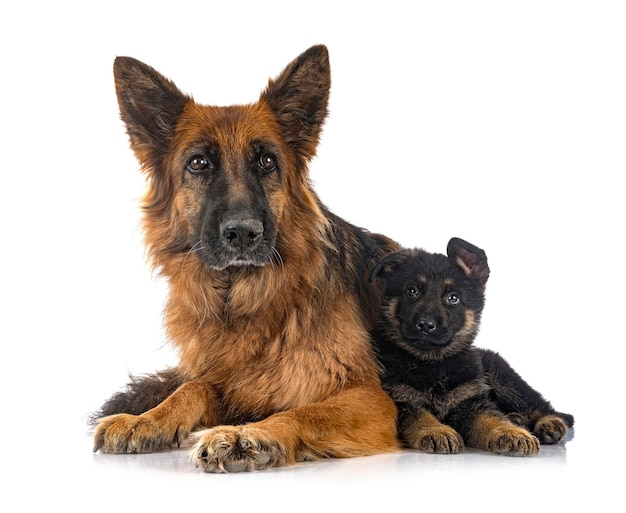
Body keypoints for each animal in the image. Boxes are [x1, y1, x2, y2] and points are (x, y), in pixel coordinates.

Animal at [368, 238, 572, 454]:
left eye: (453, 298)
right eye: (412, 291)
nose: (426, 325)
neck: (434, 363)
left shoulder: (471, 402)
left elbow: (490, 418)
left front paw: (510, 433)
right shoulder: (400, 400)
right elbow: (419, 416)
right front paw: (436, 430)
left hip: (503, 376)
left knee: (537, 404)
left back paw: (547, 423)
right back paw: (517, 419)